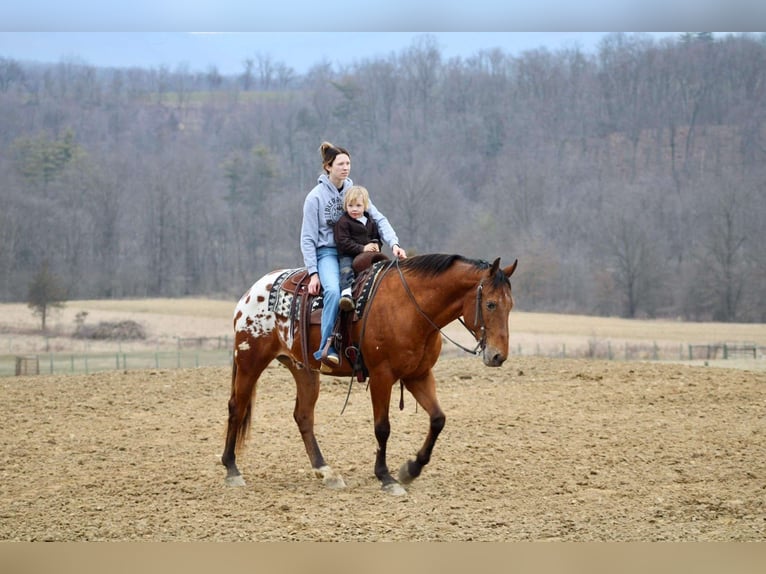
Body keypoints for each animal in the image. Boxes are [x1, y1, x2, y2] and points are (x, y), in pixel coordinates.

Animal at [224, 254, 520, 498]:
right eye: (490, 304)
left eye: (510, 305)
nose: (498, 356)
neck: (411, 307)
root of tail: (250, 294)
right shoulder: (381, 376)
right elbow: (383, 427)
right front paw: (386, 477)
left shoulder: (418, 375)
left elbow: (438, 419)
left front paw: (411, 469)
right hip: (250, 361)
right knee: (237, 407)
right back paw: (232, 470)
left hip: (304, 370)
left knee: (303, 416)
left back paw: (326, 471)